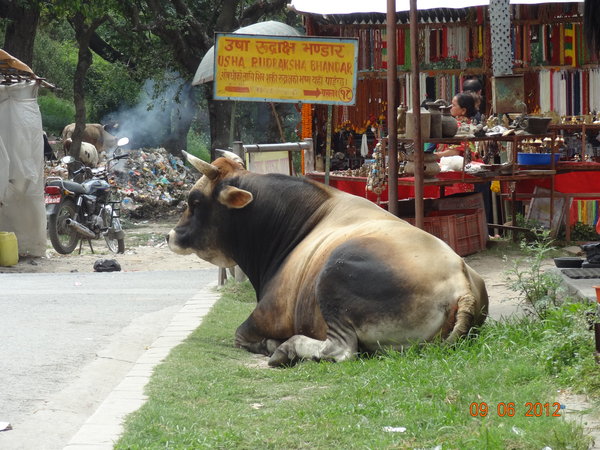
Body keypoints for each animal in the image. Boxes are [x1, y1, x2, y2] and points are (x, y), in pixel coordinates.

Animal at [168, 153, 488, 368]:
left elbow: (241, 335)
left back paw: (286, 349)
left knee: (341, 351)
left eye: (195, 201)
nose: (170, 235)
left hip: (334, 274)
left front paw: (271, 344)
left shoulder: (263, 316)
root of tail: (462, 284)